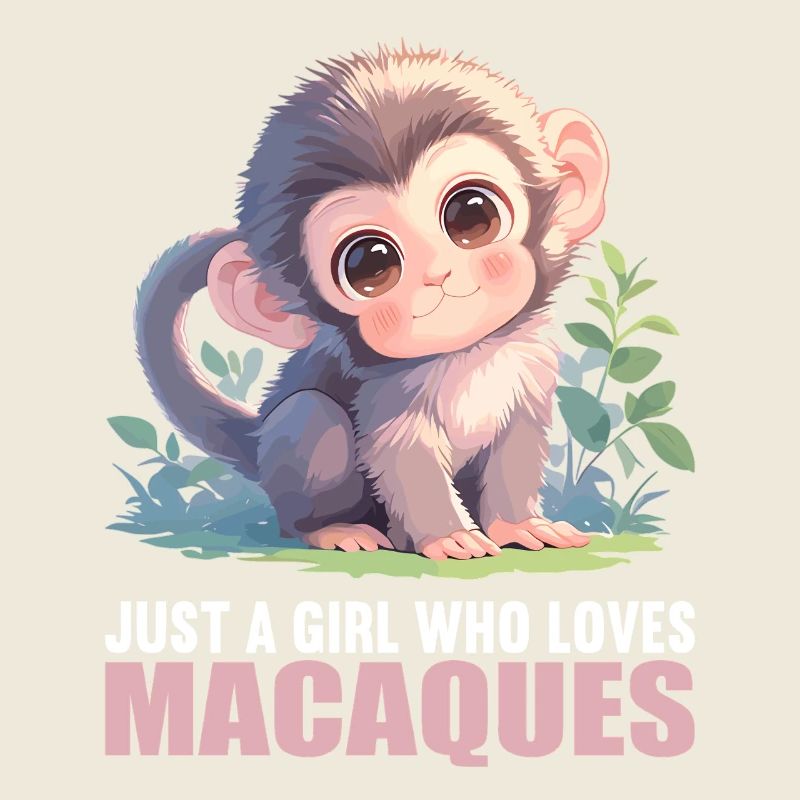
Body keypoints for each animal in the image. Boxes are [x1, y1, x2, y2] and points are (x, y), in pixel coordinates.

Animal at [136, 45, 610, 560]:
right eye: (369, 263)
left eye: (471, 213)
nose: (437, 274)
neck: (467, 355)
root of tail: (257, 440)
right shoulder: (384, 392)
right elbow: (403, 456)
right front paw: (448, 535)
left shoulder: (529, 360)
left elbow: (517, 443)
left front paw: (519, 525)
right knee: (312, 417)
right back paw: (329, 529)